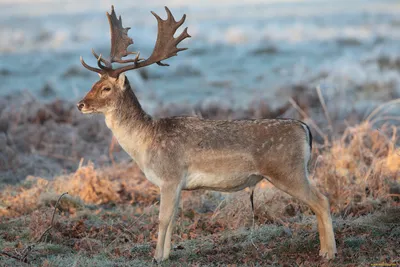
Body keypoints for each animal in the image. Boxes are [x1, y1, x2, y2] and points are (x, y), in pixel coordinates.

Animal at [76, 5, 336, 262]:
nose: (80, 104)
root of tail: (304, 128)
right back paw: (325, 249)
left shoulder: (170, 176)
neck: (145, 143)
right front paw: (167, 255)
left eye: (106, 88)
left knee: (321, 200)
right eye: (92, 84)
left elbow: (163, 219)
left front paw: (156, 257)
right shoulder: (177, 184)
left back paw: (328, 252)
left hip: (287, 170)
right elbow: (173, 219)